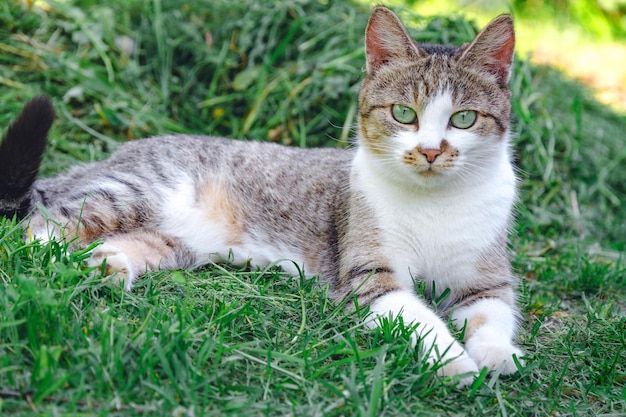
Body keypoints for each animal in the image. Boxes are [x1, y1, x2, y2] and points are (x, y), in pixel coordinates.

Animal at [1, 5, 520, 384]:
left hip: (171, 242)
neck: (434, 202)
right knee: (42, 225)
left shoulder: (488, 280)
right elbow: (418, 317)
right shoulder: (368, 275)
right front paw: (454, 361)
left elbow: (494, 314)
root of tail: (116, 153)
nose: (430, 151)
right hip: (134, 194)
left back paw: (104, 266)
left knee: (116, 243)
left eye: (463, 119)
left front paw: (497, 356)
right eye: (403, 114)